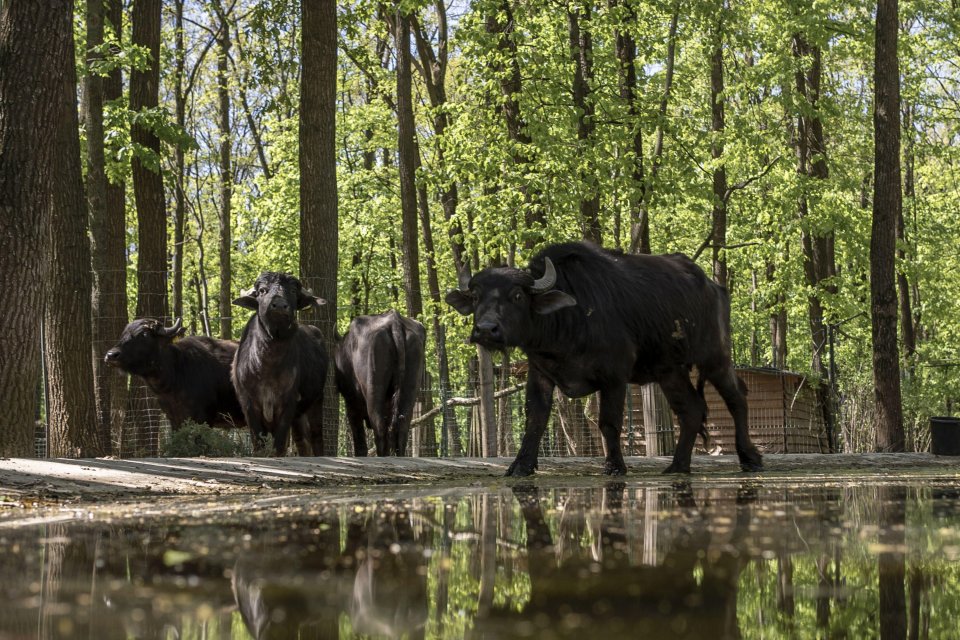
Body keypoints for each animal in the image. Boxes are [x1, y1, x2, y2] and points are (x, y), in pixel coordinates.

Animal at [231, 272, 328, 458]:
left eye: (293, 290)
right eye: (262, 290)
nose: (279, 305)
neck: (267, 364)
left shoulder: (288, 403)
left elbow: (279, 445)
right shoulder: (249, 404)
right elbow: (258, 443)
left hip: (317, 401)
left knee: (315, 437)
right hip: (299, 416)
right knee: (302, 441)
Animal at [338, 310, 428, 456]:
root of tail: (395, 323)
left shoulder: (351, 401)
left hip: (374, 390)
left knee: (380, 427)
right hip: (410, 388)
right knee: (401, 429)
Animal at [446, 240, 760, 476]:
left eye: (517, 296)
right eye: (476, 296)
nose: (486, 329)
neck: (568, 321)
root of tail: (714, 287)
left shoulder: (615, 376)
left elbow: (609, 422)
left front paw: (615, 466)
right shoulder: (540, 373)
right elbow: (535, 419)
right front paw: (520, 466)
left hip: (715, 356)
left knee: (737, 397)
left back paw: (750, 457)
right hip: (670, 370)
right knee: (691, 410)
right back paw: (678, 465)